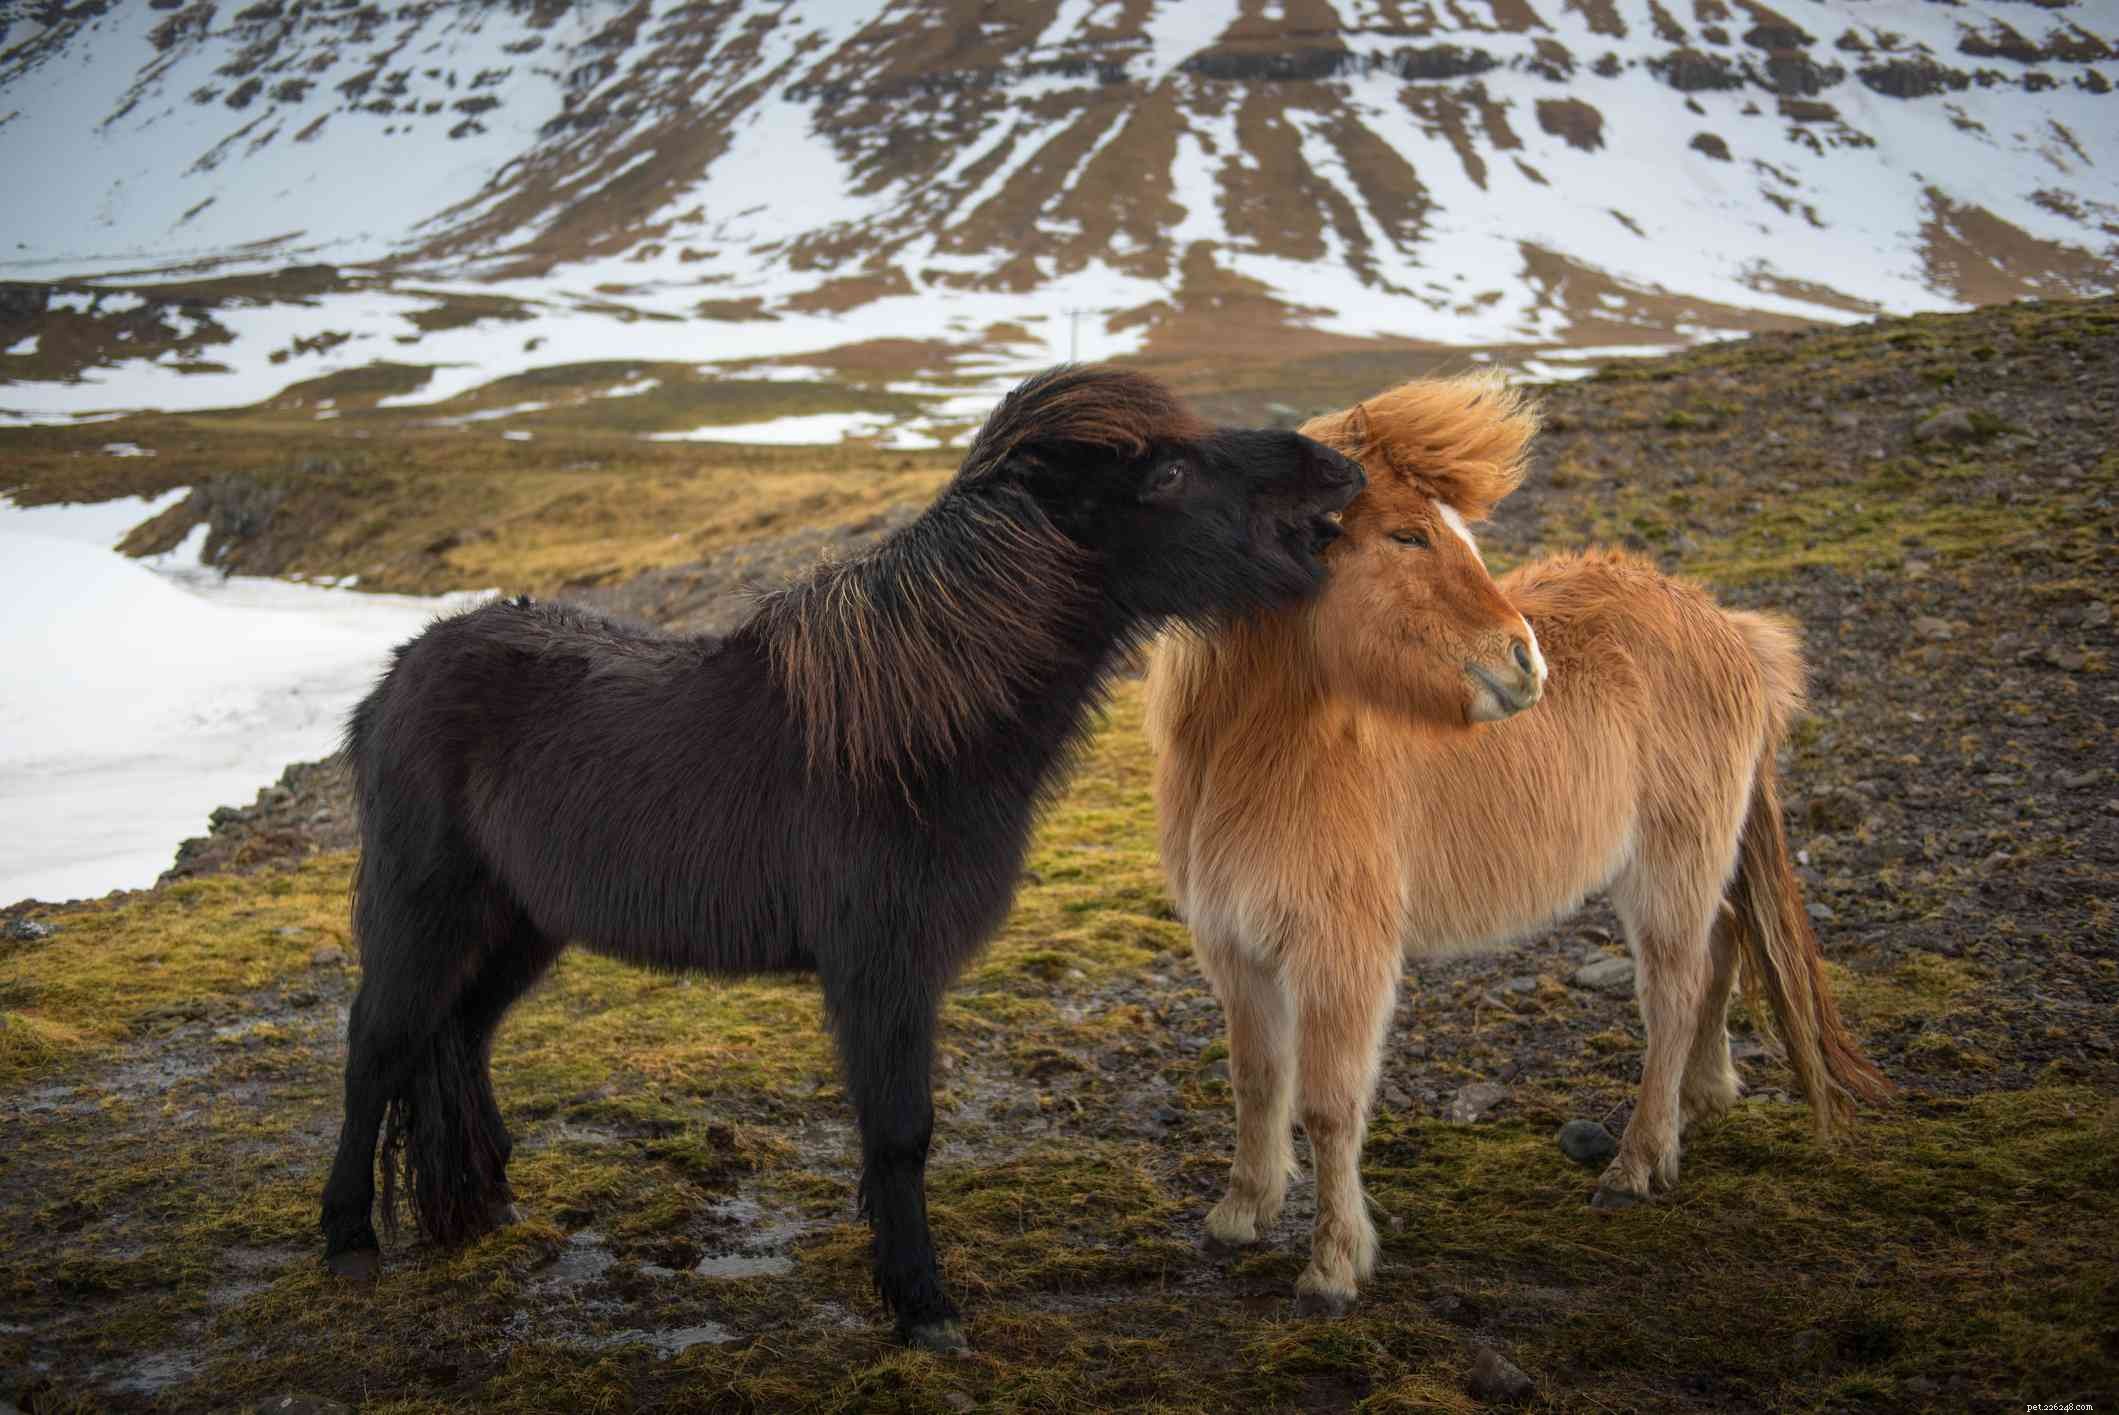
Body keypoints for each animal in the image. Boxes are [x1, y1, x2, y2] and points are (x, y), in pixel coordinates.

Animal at [319, 364, 1366, 1352]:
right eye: (1167, 472)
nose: (1339, 468)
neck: (913, 730)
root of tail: (397, 675)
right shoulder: (880, 970)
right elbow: (900, 1134)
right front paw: (922, 1307)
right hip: (425, 906)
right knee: (378, 1044)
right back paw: (348, 1241)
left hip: (519, 924)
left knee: (460, 1035)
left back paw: (490, 1202)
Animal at [1145, 373, 1889, 1316]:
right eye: (1407, 533)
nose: (1524, 661)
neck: (1260, 752)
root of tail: (1723, 624)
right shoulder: (1235, 948)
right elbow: (1255, 1083)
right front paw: (1238, 1214)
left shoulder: (1340, 955)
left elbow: (1327, 1104)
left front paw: (1332, 1267)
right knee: (1720, 950)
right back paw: (1701, 1098)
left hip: (1667, 868)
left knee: (1674, 991)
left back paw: (1635, 1163)